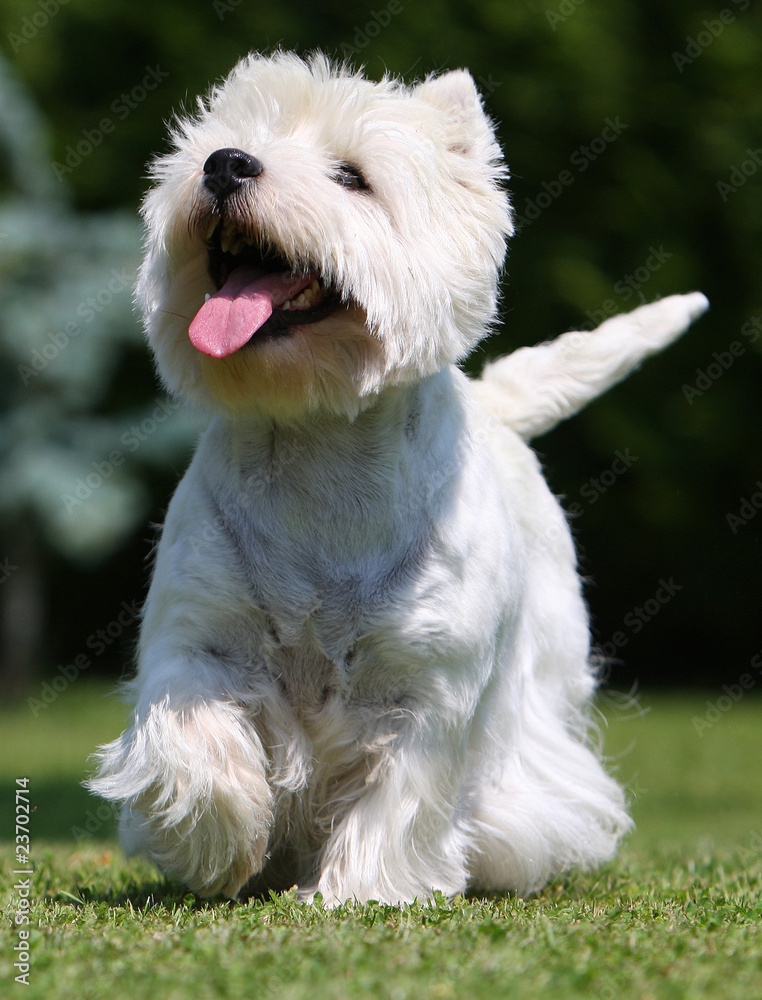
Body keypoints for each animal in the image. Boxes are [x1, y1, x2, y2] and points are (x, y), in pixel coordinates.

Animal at [89, 50, 708, 904]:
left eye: (352, 176)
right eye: (214, 144)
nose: (225, 165)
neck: (320, 445)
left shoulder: (429, 686)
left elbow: (402, 795)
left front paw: (358, 893)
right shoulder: (196, 635)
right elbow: (193, 738)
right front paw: (220, 838)